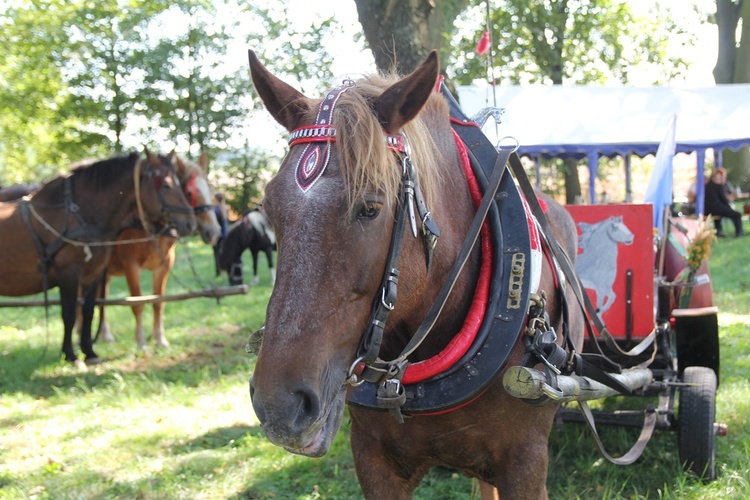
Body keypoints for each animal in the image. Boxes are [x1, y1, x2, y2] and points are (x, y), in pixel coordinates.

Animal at [0, 150, 197, 366]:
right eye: (167, 185)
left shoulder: (92, 274)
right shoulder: (69, 274)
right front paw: (70, 355)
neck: (77, 215)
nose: (190, 223)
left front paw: (89, 352)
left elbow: (89, 311)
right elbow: (69, 314)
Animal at [96, 150, 220, 350]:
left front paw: (159, 338)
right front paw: (141, 341)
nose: (214, 231)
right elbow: (137, 303)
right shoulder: (131, 266)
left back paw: (103, 333)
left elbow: (158, 302)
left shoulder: (164, 265)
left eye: (210, 191)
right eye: (189, 192)